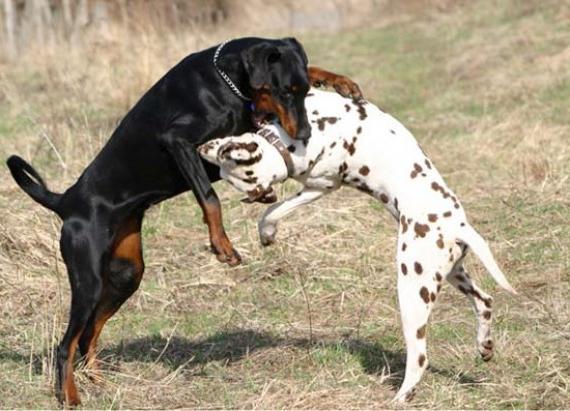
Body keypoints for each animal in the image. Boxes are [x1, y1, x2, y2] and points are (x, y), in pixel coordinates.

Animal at [5, 37, 360, 408]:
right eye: (283, 91)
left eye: (303, 91)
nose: (304, 134)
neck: (227, 81)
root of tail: (66, 202)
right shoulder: (179, 142)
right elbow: (209, 196)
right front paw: (222, 244)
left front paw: (338, 80)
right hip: (87, 279)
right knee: (66, 344)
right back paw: (70, 395)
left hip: (126, 272)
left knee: (89, 333)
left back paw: (97, 380)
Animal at [197, 87, 516, 402]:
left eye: (225, 159)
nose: (201, 148)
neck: (290, 147)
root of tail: (459, 226)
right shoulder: (317, 187)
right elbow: (274, 211)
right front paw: (267, 231)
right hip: (451, 274)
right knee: (484, 301)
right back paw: (484, 346)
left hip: (412, 293)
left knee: (420, 356)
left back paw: (401, 397)